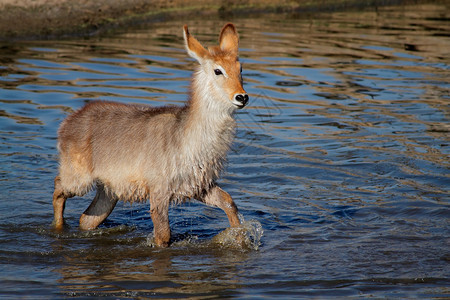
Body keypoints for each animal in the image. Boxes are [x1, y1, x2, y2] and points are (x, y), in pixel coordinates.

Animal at [53, 22, 250, 246]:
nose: (242, 97)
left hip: (109, 190)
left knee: (86, 219)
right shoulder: (159, 189)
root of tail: (67, 122)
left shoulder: (198, 185)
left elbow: (229, 202)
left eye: (240, 68)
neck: (189, 140)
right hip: (79, 179)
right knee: (58, 187)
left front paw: (239, 236)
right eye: (218, 70)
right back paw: (58, 228)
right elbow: (163, 234)